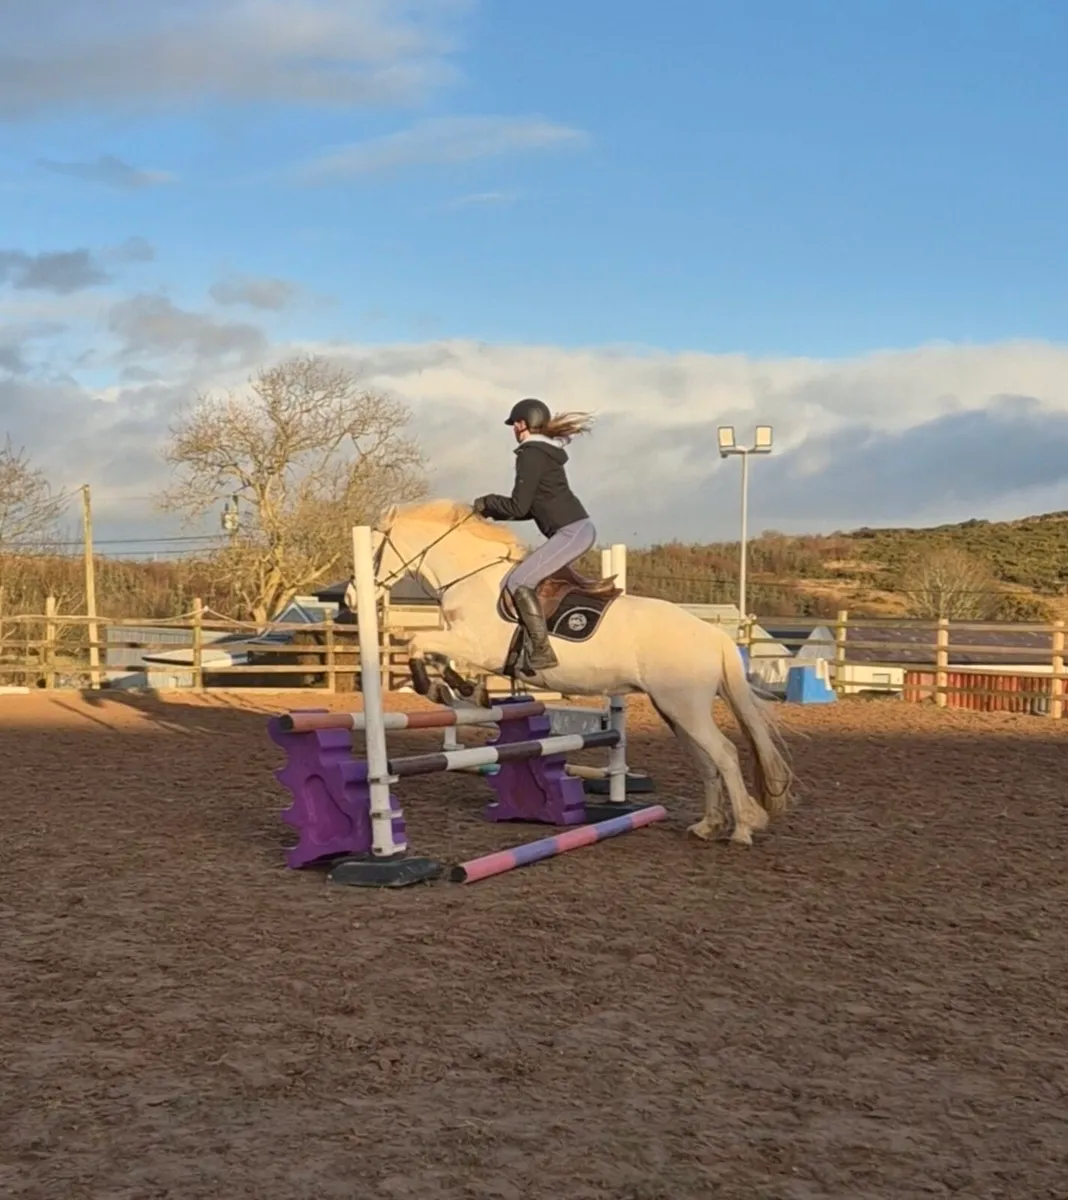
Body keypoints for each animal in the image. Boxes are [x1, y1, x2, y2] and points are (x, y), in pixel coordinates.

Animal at [372, 499, 793, 844]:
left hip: (685, 707)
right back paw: (709, 825)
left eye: (374, 547)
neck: (473, 577)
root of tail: (715, 637)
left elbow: (418, 645)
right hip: (673, 710)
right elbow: (434, 654)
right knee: (706, 761)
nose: (359, 595)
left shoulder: (475, 644)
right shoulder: (462, 641)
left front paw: (435, 686)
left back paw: (741, 829)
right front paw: (459, 689)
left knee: (724, 754)